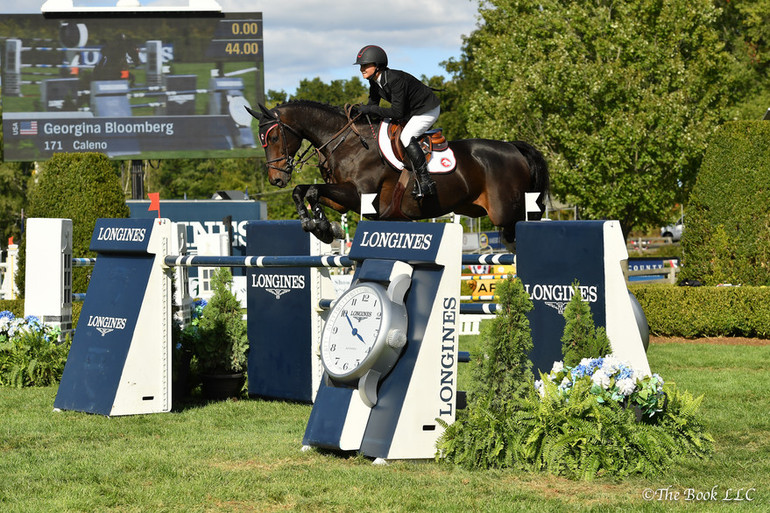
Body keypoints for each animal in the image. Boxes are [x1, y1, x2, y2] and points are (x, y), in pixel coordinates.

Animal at [246, 100, 544, 246]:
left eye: (273, 137)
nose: (276, 178)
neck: (346, 142)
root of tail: (513, 148)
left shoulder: (361, 196)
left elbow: (311, 191)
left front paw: (321, 226)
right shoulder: (341, 198)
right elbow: (305, 191)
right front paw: (321, 227)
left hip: (507, 214)